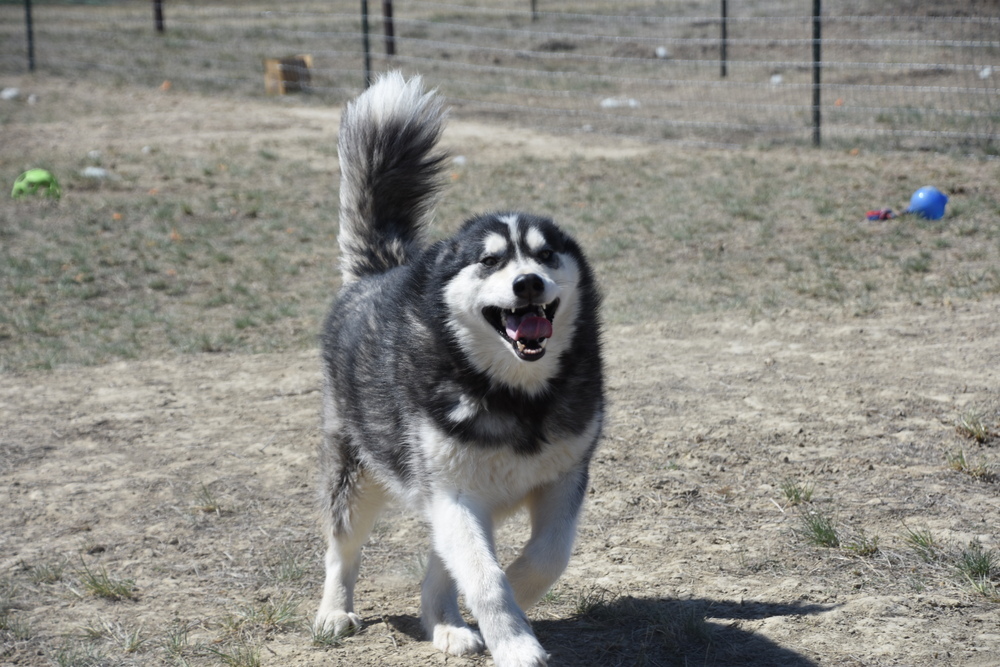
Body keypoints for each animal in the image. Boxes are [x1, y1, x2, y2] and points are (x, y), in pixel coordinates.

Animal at [316, 72, 604, 667]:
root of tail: (375, 273)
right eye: (490, 260)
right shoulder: (454, 493)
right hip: (357, 473)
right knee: (342, 547)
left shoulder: (563, 479)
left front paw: (501, 609)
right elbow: (486, 577)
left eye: (545, 256)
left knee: (439, 565)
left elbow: (543, 559)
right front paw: (516, 644)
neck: (515, 395)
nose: (527, 283)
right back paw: (334, 611)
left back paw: (445, 623)